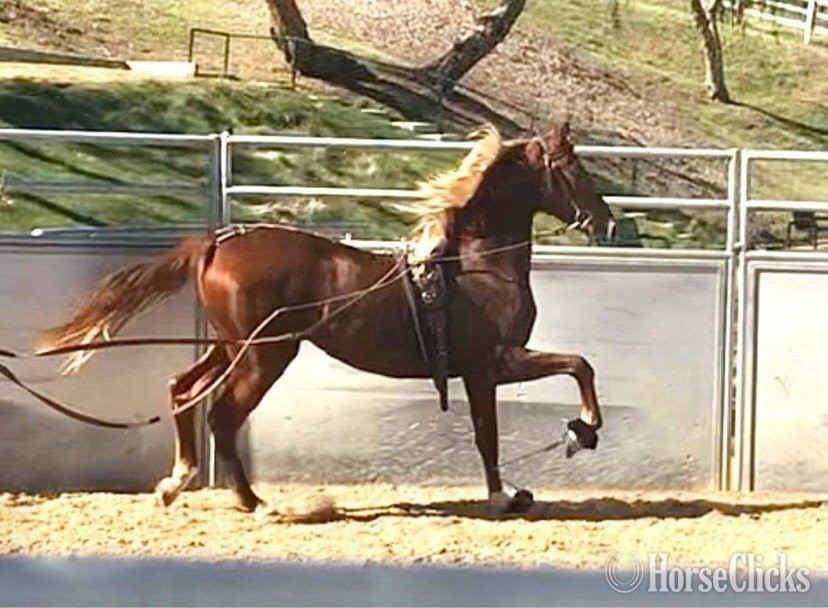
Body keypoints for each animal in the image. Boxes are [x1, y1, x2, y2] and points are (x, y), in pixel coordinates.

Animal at [42, 123, 616, 514]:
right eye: (575, 170)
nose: (607, 222)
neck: (476, 265)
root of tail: (218, 242)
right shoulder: (493, 363)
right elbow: (563, 377)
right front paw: (575, 436)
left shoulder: (487, 369)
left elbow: (523, 406)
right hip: (265, 355)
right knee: (222, 415)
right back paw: (253, 502)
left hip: (231, 347)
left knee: (183, 390)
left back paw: (177, 481)